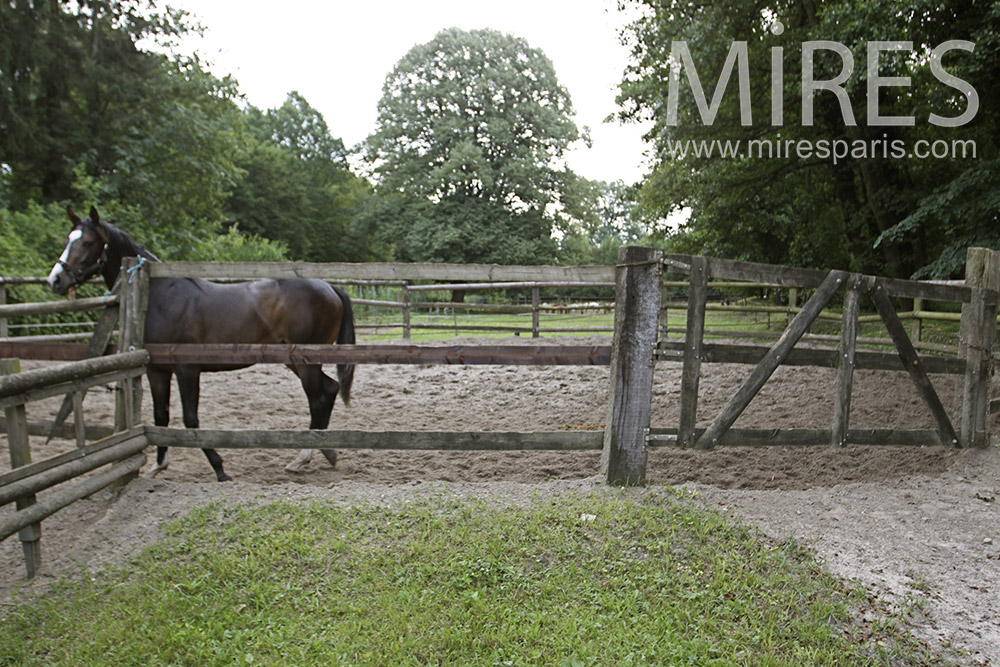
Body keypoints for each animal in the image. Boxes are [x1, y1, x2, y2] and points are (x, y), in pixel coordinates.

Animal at [50, 207, 358, 480]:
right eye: (67, 239)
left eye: (88, 242)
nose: (56, 279)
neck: (161, 297)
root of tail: (330, 287)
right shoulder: (156, 370)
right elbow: (161, 416)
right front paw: (158, 466)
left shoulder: (187, 369)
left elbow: (190, 420)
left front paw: (220, 468)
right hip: (294, 360)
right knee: (330, 389)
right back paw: (324, 452)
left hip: (304, 361)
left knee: (319, 398)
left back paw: (304, 456)